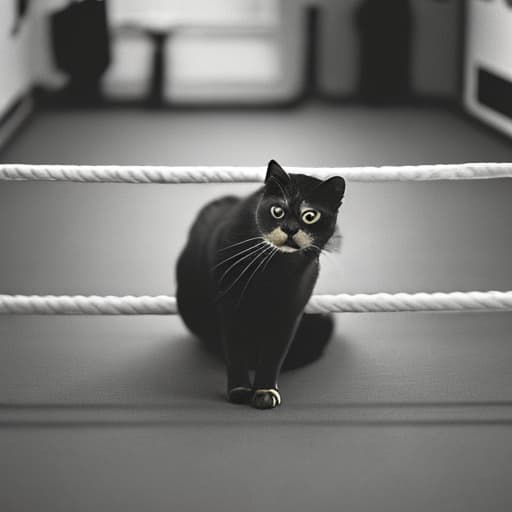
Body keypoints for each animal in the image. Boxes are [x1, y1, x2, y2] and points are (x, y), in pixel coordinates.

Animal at [174, 160, 346, 408]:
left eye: (310, 216)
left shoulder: (289, 313)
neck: (275, 271)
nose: (290, 228)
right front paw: (239, 390)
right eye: (277, 210)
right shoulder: (230, 306)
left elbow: (274, 355)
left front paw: (265, 392)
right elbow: (235, 350)